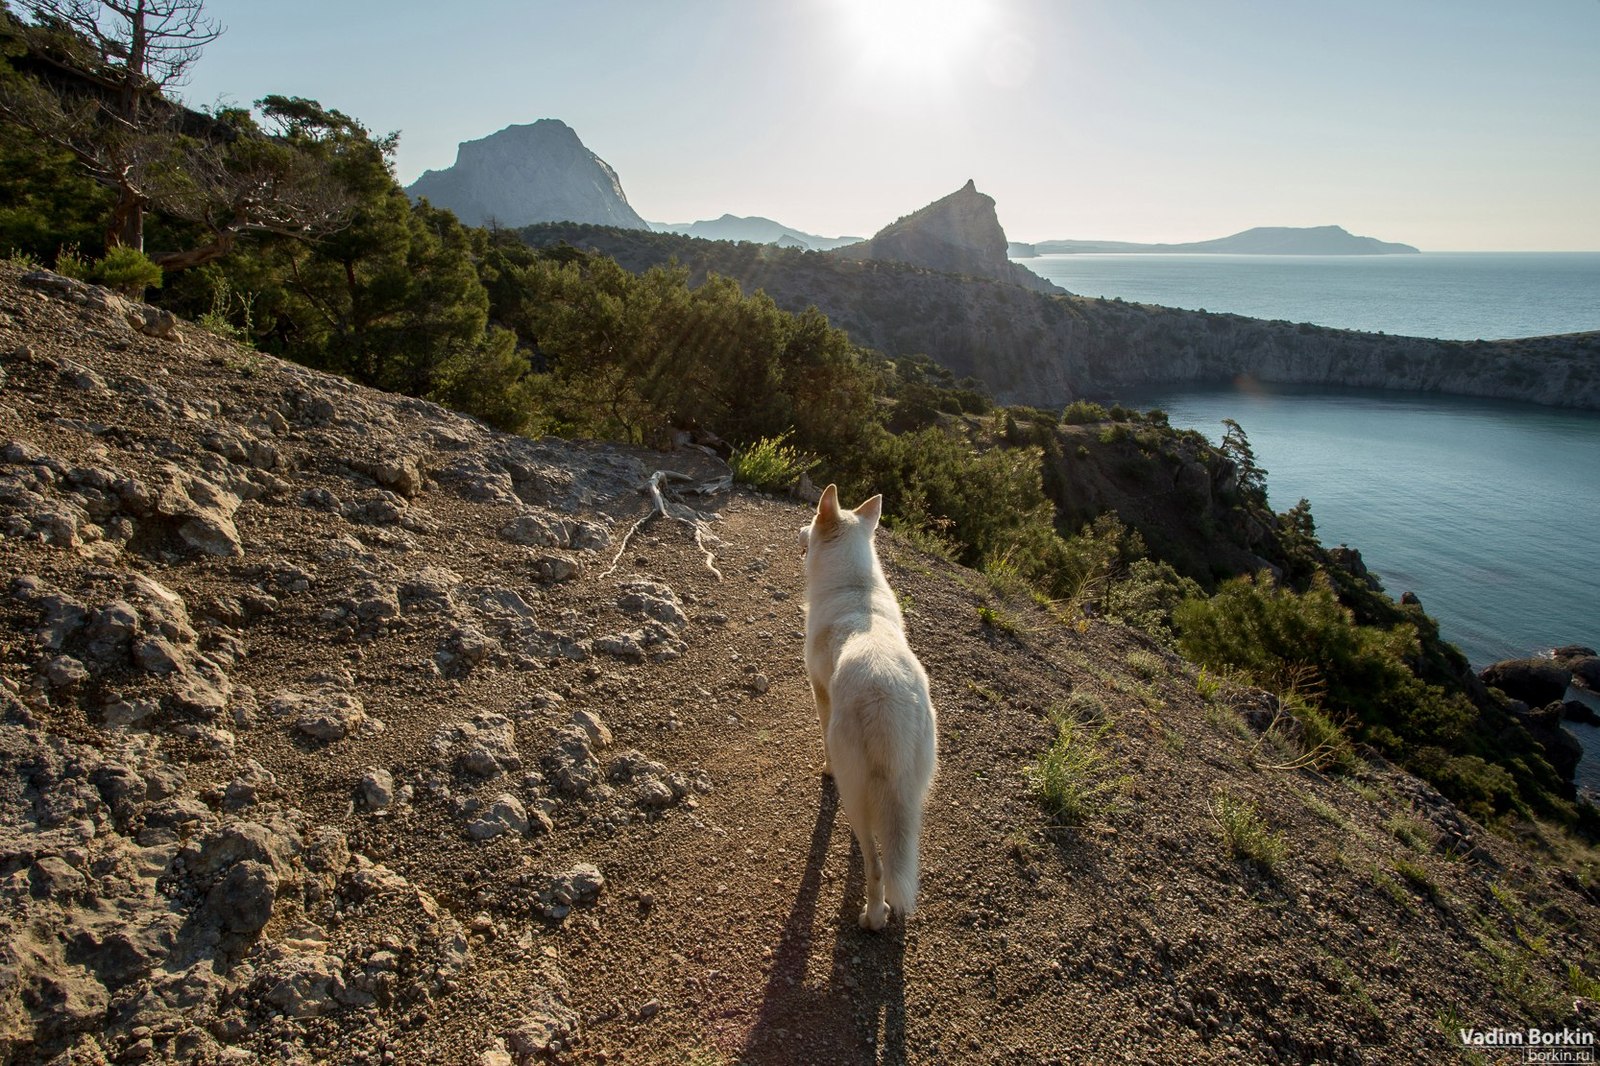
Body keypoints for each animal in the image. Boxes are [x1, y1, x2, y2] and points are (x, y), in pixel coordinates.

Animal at [800, 486, 934, 928]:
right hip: (912, 793)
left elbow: (823, 739)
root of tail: (887, 700)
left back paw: (874, 916)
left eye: (812, 518)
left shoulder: (820, 693)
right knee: (897, 858)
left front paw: (823, 769)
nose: (800, 529)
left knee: (875, 866)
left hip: (854, 790)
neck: (853, 585)